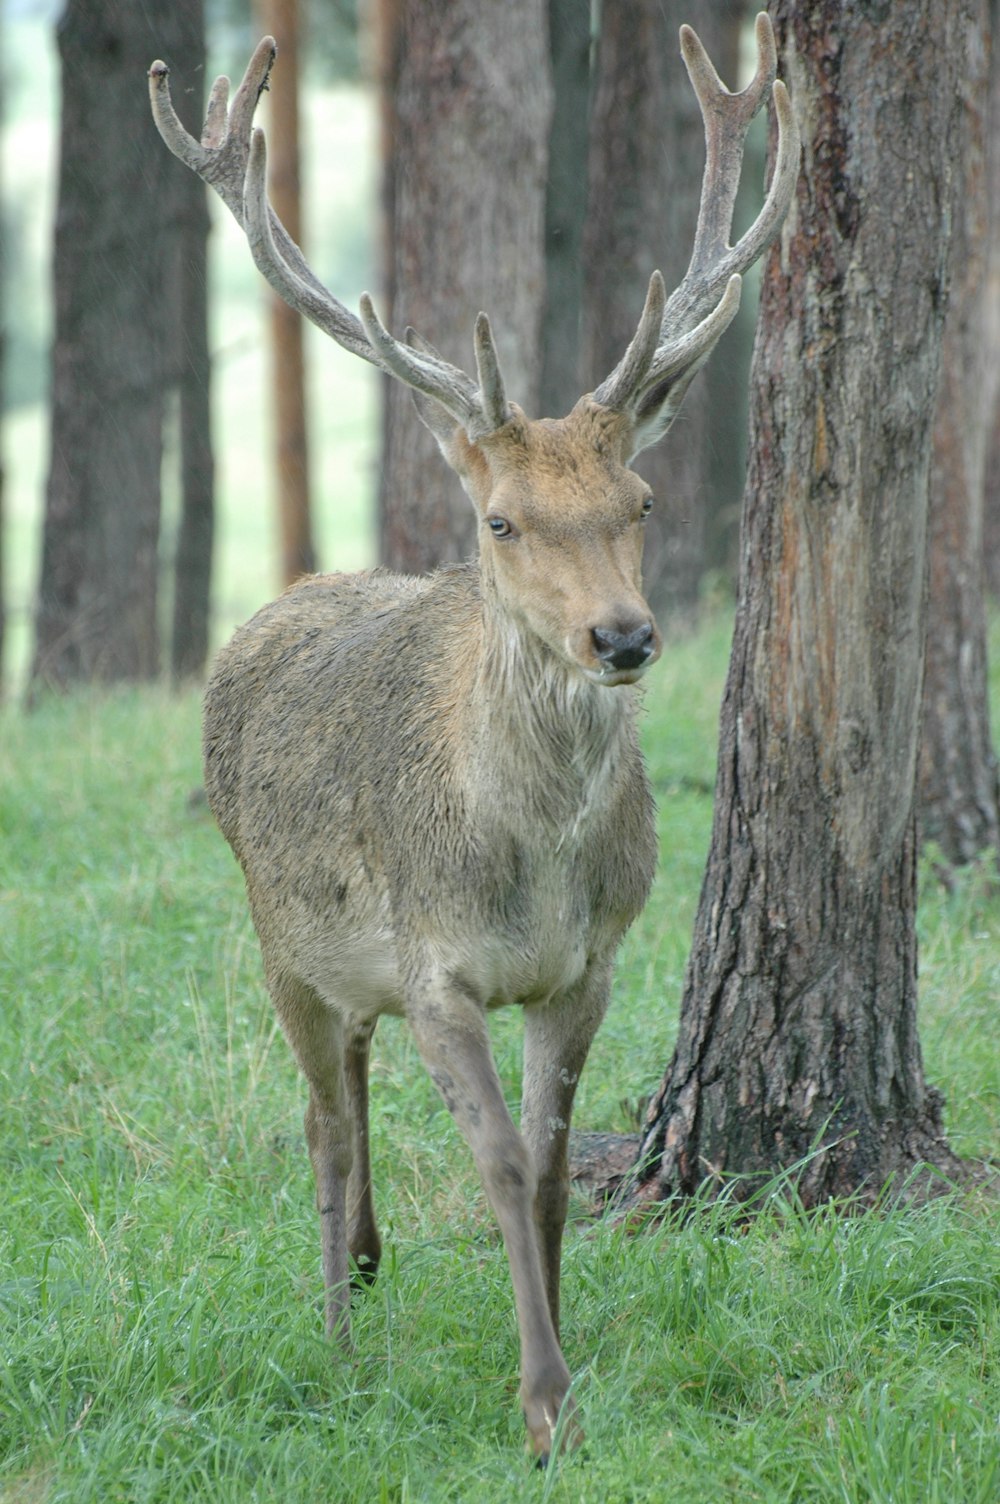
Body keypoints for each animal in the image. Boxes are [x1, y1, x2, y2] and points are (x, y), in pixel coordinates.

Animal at [150, 17, 793, 1461]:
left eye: (640, 498)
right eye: (503, 520)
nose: (623, 636)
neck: (527, 864)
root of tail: (287, 599)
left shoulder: (587, 964)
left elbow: (550, 1165)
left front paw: (568, 1360)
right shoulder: (435, 965)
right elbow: (496, 1158)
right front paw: (542, 1401)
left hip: (349, 969)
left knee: (355, 1082)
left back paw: (370, 1264)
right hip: (280, 938)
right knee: (325, 1120)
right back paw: (338, 1334)